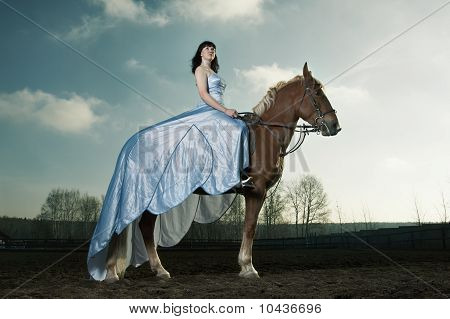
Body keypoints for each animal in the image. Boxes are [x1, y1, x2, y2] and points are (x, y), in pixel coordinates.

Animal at [103, 62, 340, 282]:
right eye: (317, 93)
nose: (335, 126)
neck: (266, 134)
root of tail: (132, 143)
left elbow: (249, 227)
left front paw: (244, 266)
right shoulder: (257, 190)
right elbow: (250, 227)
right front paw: (248, 268)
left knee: (142, 227)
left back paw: (155, 270)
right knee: (127, 227)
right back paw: (114, 272)